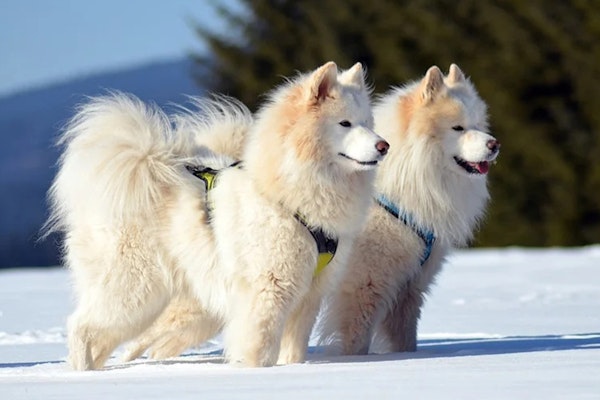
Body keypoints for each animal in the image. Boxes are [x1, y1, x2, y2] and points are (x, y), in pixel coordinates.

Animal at [44, 61, 386, 370]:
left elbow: (293, 351)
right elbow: (259, 346)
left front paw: (292, 370)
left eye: (368, 122)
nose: (384, 146)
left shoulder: (308, 297)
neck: (287, 194)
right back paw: (81, 373)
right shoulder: (268, 291)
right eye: (345, 123)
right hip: (133, 290)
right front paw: (255, 372)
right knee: (81, 326)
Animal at [318, 64, 502, 354]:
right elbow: (356, 339)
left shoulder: (409, 287)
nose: (494, 144)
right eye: (458, 128)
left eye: (477, 125)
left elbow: (406, 339)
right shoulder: (363, 285)